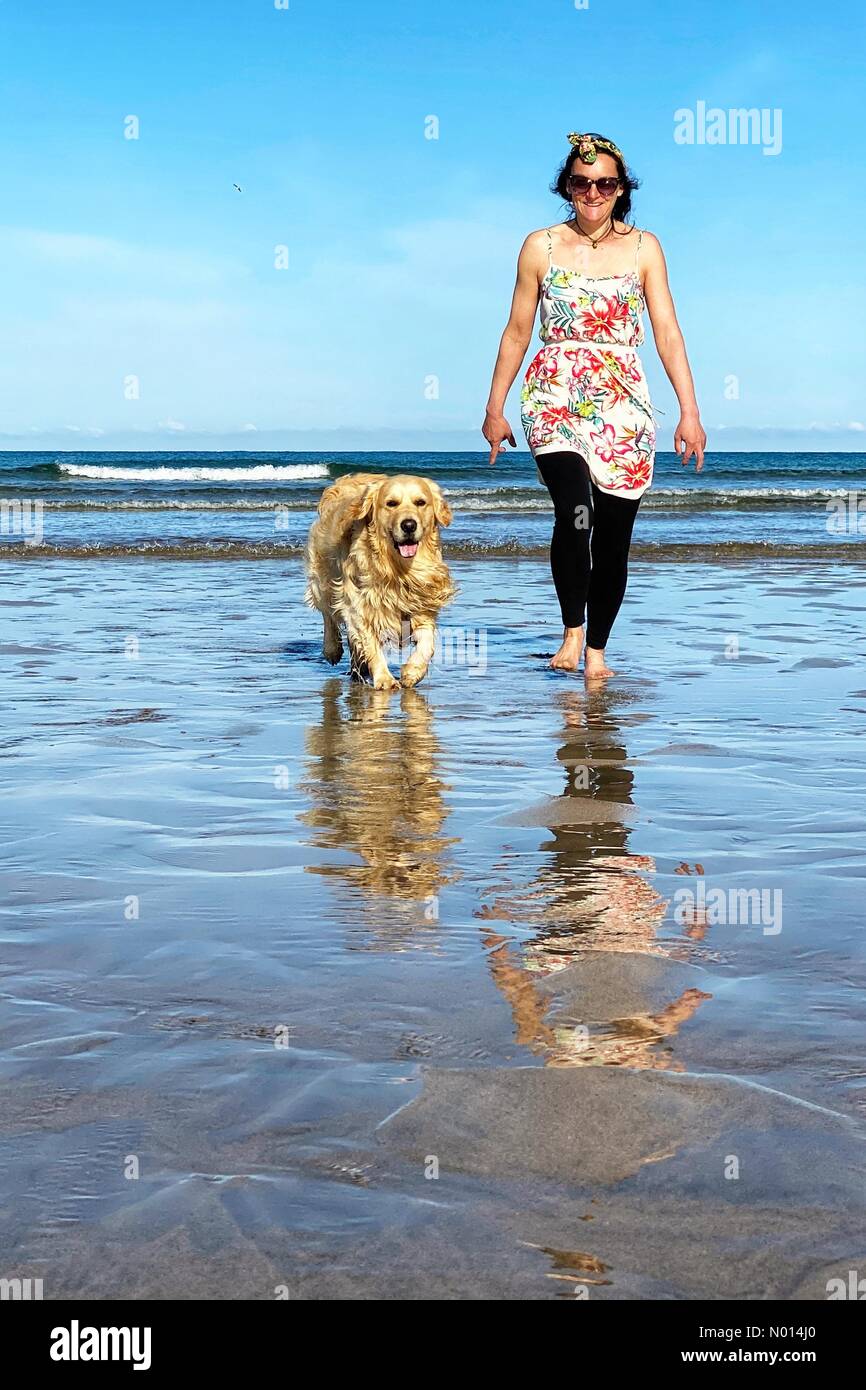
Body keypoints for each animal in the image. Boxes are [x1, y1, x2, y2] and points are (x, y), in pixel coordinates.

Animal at [304, 472, 458, 689]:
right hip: (322, 579)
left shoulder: (423, 602)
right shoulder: (359, 605)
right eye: (391, 503)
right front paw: (384, 679)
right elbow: (370, 643)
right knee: (328, 614)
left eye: (420, 502)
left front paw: (413, 671)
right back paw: (332, 650)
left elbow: (428, 643)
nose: (409, 525)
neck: (397, 568)